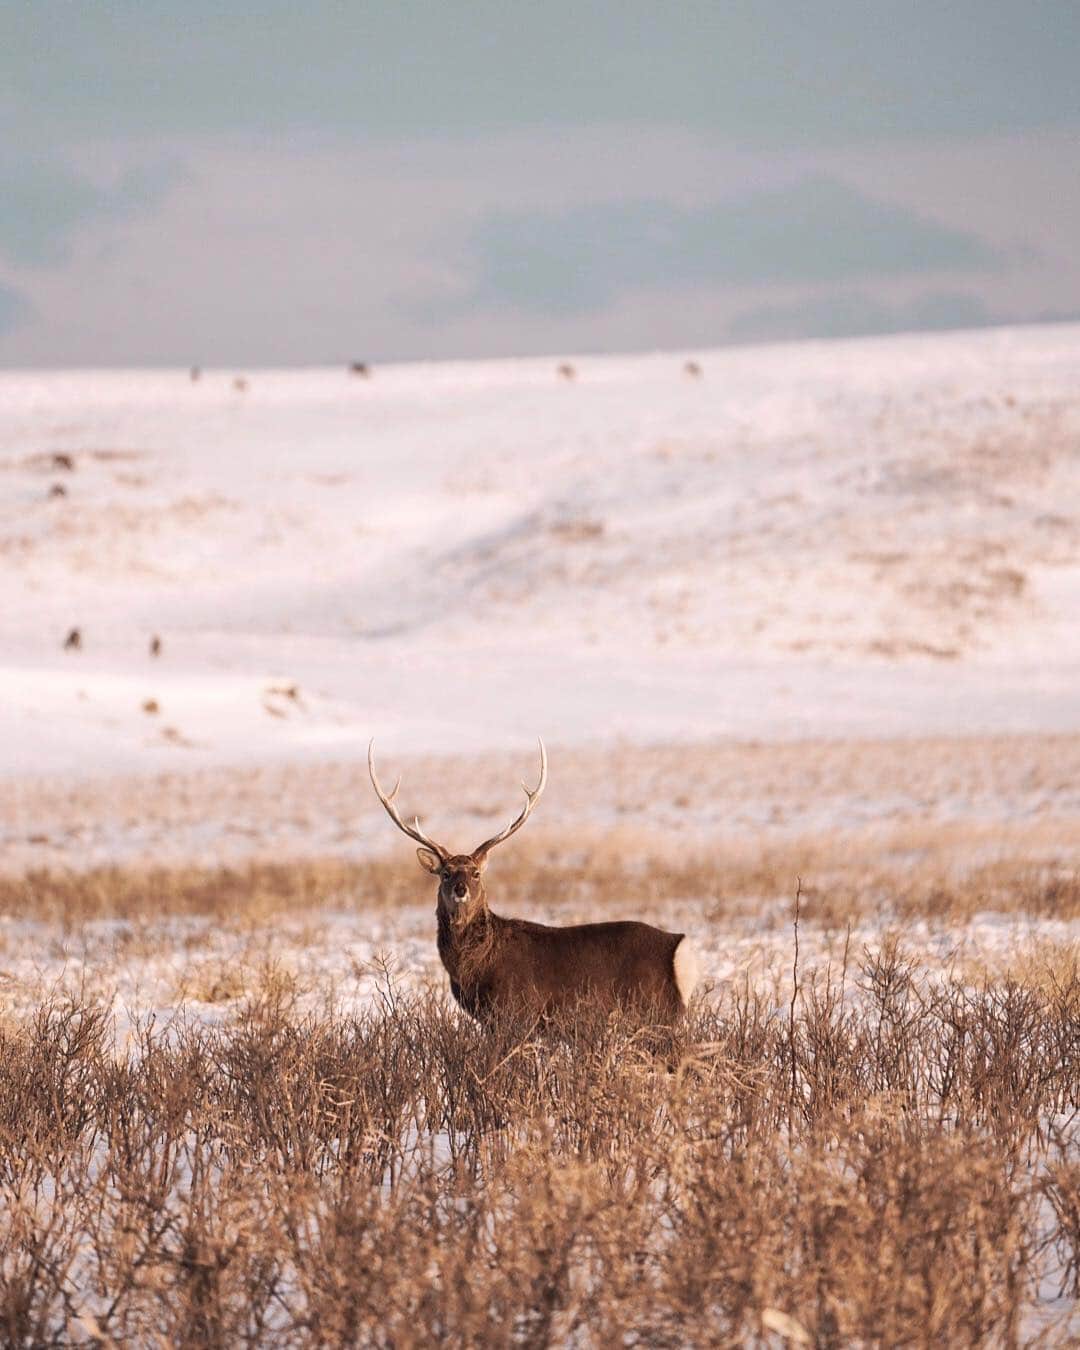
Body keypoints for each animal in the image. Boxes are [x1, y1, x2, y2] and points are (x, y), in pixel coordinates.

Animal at [368, 740, 699, 1023]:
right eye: (446, 873)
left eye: (476, 873)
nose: (460, 890)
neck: (472, 970)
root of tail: (680, 947)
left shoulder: (517, 1010)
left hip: (655, 1008)